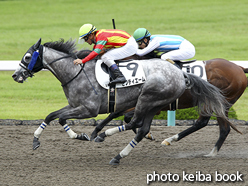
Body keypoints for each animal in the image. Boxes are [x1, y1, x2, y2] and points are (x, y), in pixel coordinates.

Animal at [12, 38, 229, 165]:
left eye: (28, 56)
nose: (16, 75)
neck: (75, 72)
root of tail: (180, 72)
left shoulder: (88, 109)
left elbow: (59, 118)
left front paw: (86, 134)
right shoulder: (75, 106)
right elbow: (53, 116)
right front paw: (39, 140)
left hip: (147, 98)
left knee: (134, 123)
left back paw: (106, 137)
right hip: (157, 103)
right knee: (141, 129)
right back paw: (118, 155)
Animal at [92, 58, 247, 157]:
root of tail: (239, 68)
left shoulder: (152, 106)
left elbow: (127, 117)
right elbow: (116, 114)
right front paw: (96, 132)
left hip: (216, 102)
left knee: (210, 125)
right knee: (213, 126)